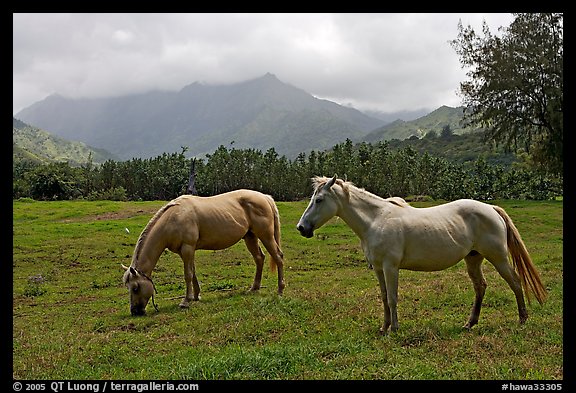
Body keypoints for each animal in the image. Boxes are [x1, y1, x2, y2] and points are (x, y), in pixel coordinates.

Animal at [122, 190, 284, 316]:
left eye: (135, 288)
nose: (135, 311)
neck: (174, 218)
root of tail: (265, 197)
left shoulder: (187, 248)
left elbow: (187, 274)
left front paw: (186, 301)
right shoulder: (186, 251)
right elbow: (192, 273)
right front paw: (196, 296)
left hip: (266, 236)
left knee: (278, 257)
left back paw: (280, 290)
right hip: (250, 237)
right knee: (259, 258)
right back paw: (254, 288)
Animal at [294, 176, 548, 332]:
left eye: (319, 200)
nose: (301, 228)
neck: (376, 220)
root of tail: (491, 208)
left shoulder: (390, 267)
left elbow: (393, 298)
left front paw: (395, 329)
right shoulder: (378, 269)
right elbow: (384, 297)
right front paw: (384, 328)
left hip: (499, 258)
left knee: (515, 281)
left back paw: (522, 319)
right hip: (473, 259)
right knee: (481, 287)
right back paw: (470, 324)